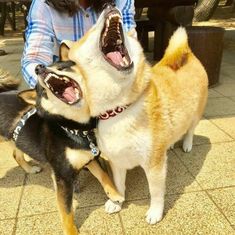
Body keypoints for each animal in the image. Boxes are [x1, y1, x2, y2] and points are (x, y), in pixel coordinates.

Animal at [0, 51, 124, 233]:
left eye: (61, 67)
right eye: (42, 92)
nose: (39, 68)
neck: (75, 129)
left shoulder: (88, 157)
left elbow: (104, 175)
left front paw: (114, 194)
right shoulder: (62, 176)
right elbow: (66, 212)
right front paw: (71, 232)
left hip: (16, 139)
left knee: (16, 155)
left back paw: (30, 169)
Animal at [61, 3, 208, 224]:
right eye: (91, 30)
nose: (110, 5)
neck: (119, 109)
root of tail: (188, 53)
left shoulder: (154, 164)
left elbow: (156, 192)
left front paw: (155, 212)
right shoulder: (117, 160)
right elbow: (118, 185)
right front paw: (117, 202)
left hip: (196, 113)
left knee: (190, 129)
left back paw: (187, 144)